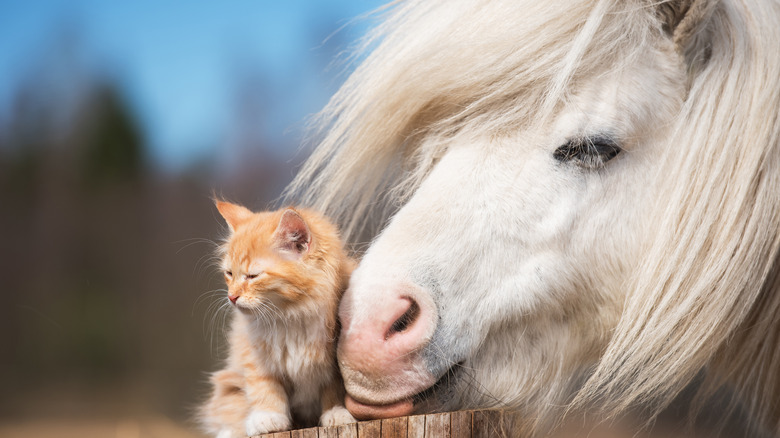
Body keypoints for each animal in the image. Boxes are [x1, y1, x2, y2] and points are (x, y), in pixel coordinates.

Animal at [203, 202, 358, 438]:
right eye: (229, 274)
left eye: (253, 276)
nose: (231, 297)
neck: (290, 316)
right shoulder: (254, 354)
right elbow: (264, 385)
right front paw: (268, 417)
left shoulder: (335, 361)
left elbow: (335, 388)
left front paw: (336, 412)